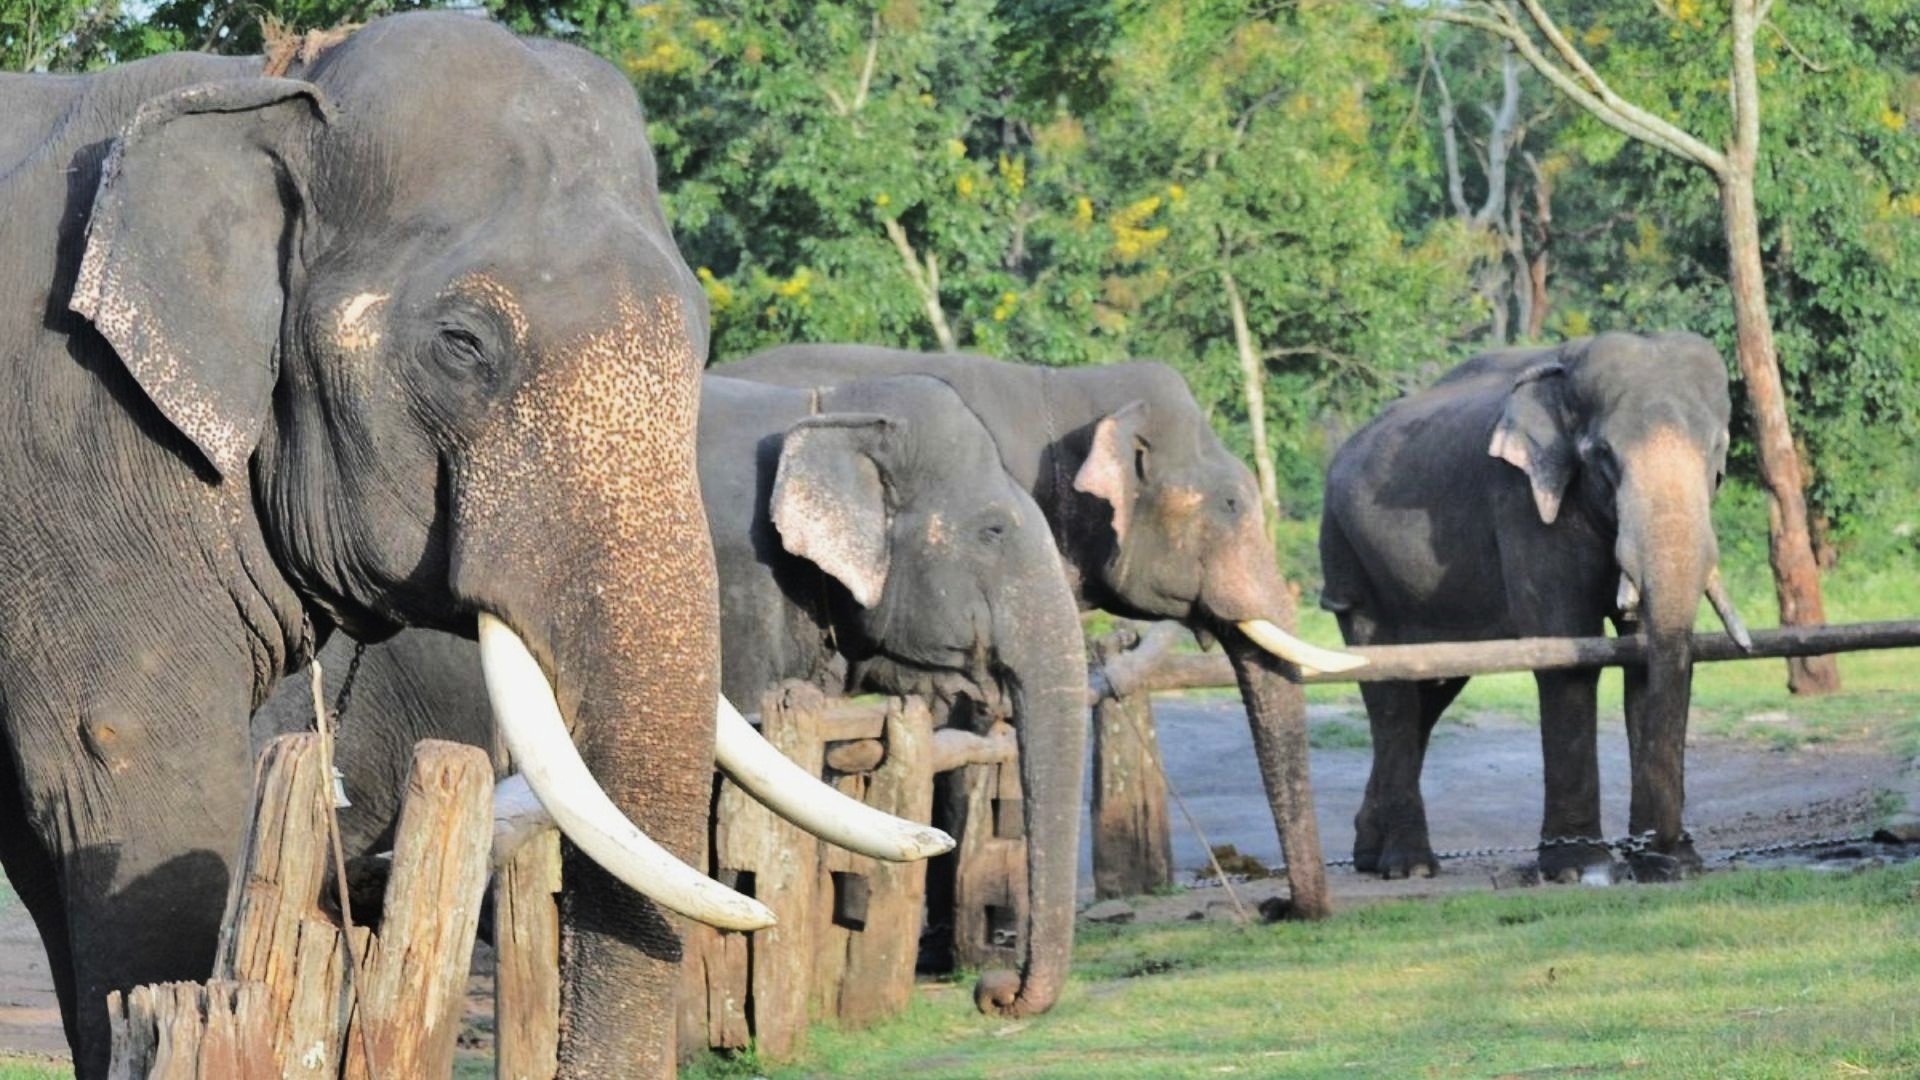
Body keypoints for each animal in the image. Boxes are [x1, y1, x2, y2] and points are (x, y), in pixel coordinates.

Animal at [1318, 331, 1751, 883]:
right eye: (1603, 455)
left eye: (1717, 453)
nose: (1667, 849)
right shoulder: (1522, 500)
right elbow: (1565, 646)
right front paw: (1577, 869)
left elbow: (1641, 660)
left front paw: (1669, 865)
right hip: (1349, 559)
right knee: (1390, 690)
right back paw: (1409, 866)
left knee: (1430, 691)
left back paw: (1370, 855)